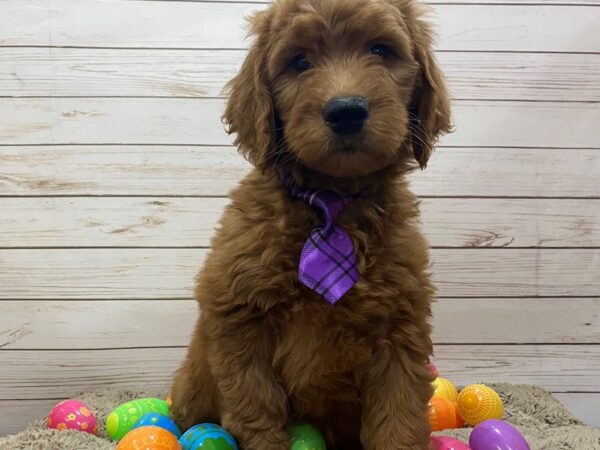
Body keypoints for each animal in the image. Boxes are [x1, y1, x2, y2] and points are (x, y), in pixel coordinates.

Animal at [171, 0, 452, 448]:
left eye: (381, 50)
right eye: (299, 62)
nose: (346, 111)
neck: (330, 203)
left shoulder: (399, 331)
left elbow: (399, 417)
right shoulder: (240, 321)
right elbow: (258, 411)